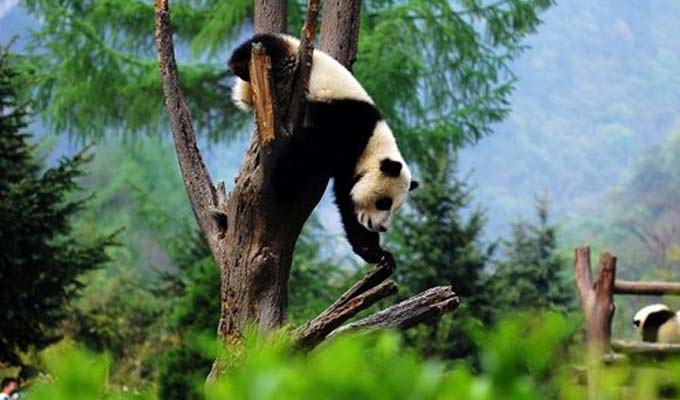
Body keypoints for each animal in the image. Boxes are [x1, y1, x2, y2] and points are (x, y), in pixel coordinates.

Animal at [228, 32, 420, 264]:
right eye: (384, 202)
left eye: (395, 207)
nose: (382, 227)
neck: (374, 143)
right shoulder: (348, 128)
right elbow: (310, 150)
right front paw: (284, 184)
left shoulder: (351, 169)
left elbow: (347, 202)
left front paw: (377, 253)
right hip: (289, 55)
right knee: (269, 44)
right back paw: (240, 63)